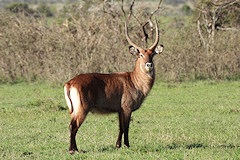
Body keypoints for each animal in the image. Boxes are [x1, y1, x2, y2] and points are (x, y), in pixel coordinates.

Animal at [63, 20, 164, 153]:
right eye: (140, 55)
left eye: (152, 54)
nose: (149, 64)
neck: (134, 80)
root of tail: (70, 83)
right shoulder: (127, 109)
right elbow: (126, 127)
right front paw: (127, 145)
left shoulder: (120, 110)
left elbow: (120, 127)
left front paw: (118, 145)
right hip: (82, 109)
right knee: (73, 126)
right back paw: (72, 150)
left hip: (74, 110)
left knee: (72, 125)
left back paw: (75, 148)